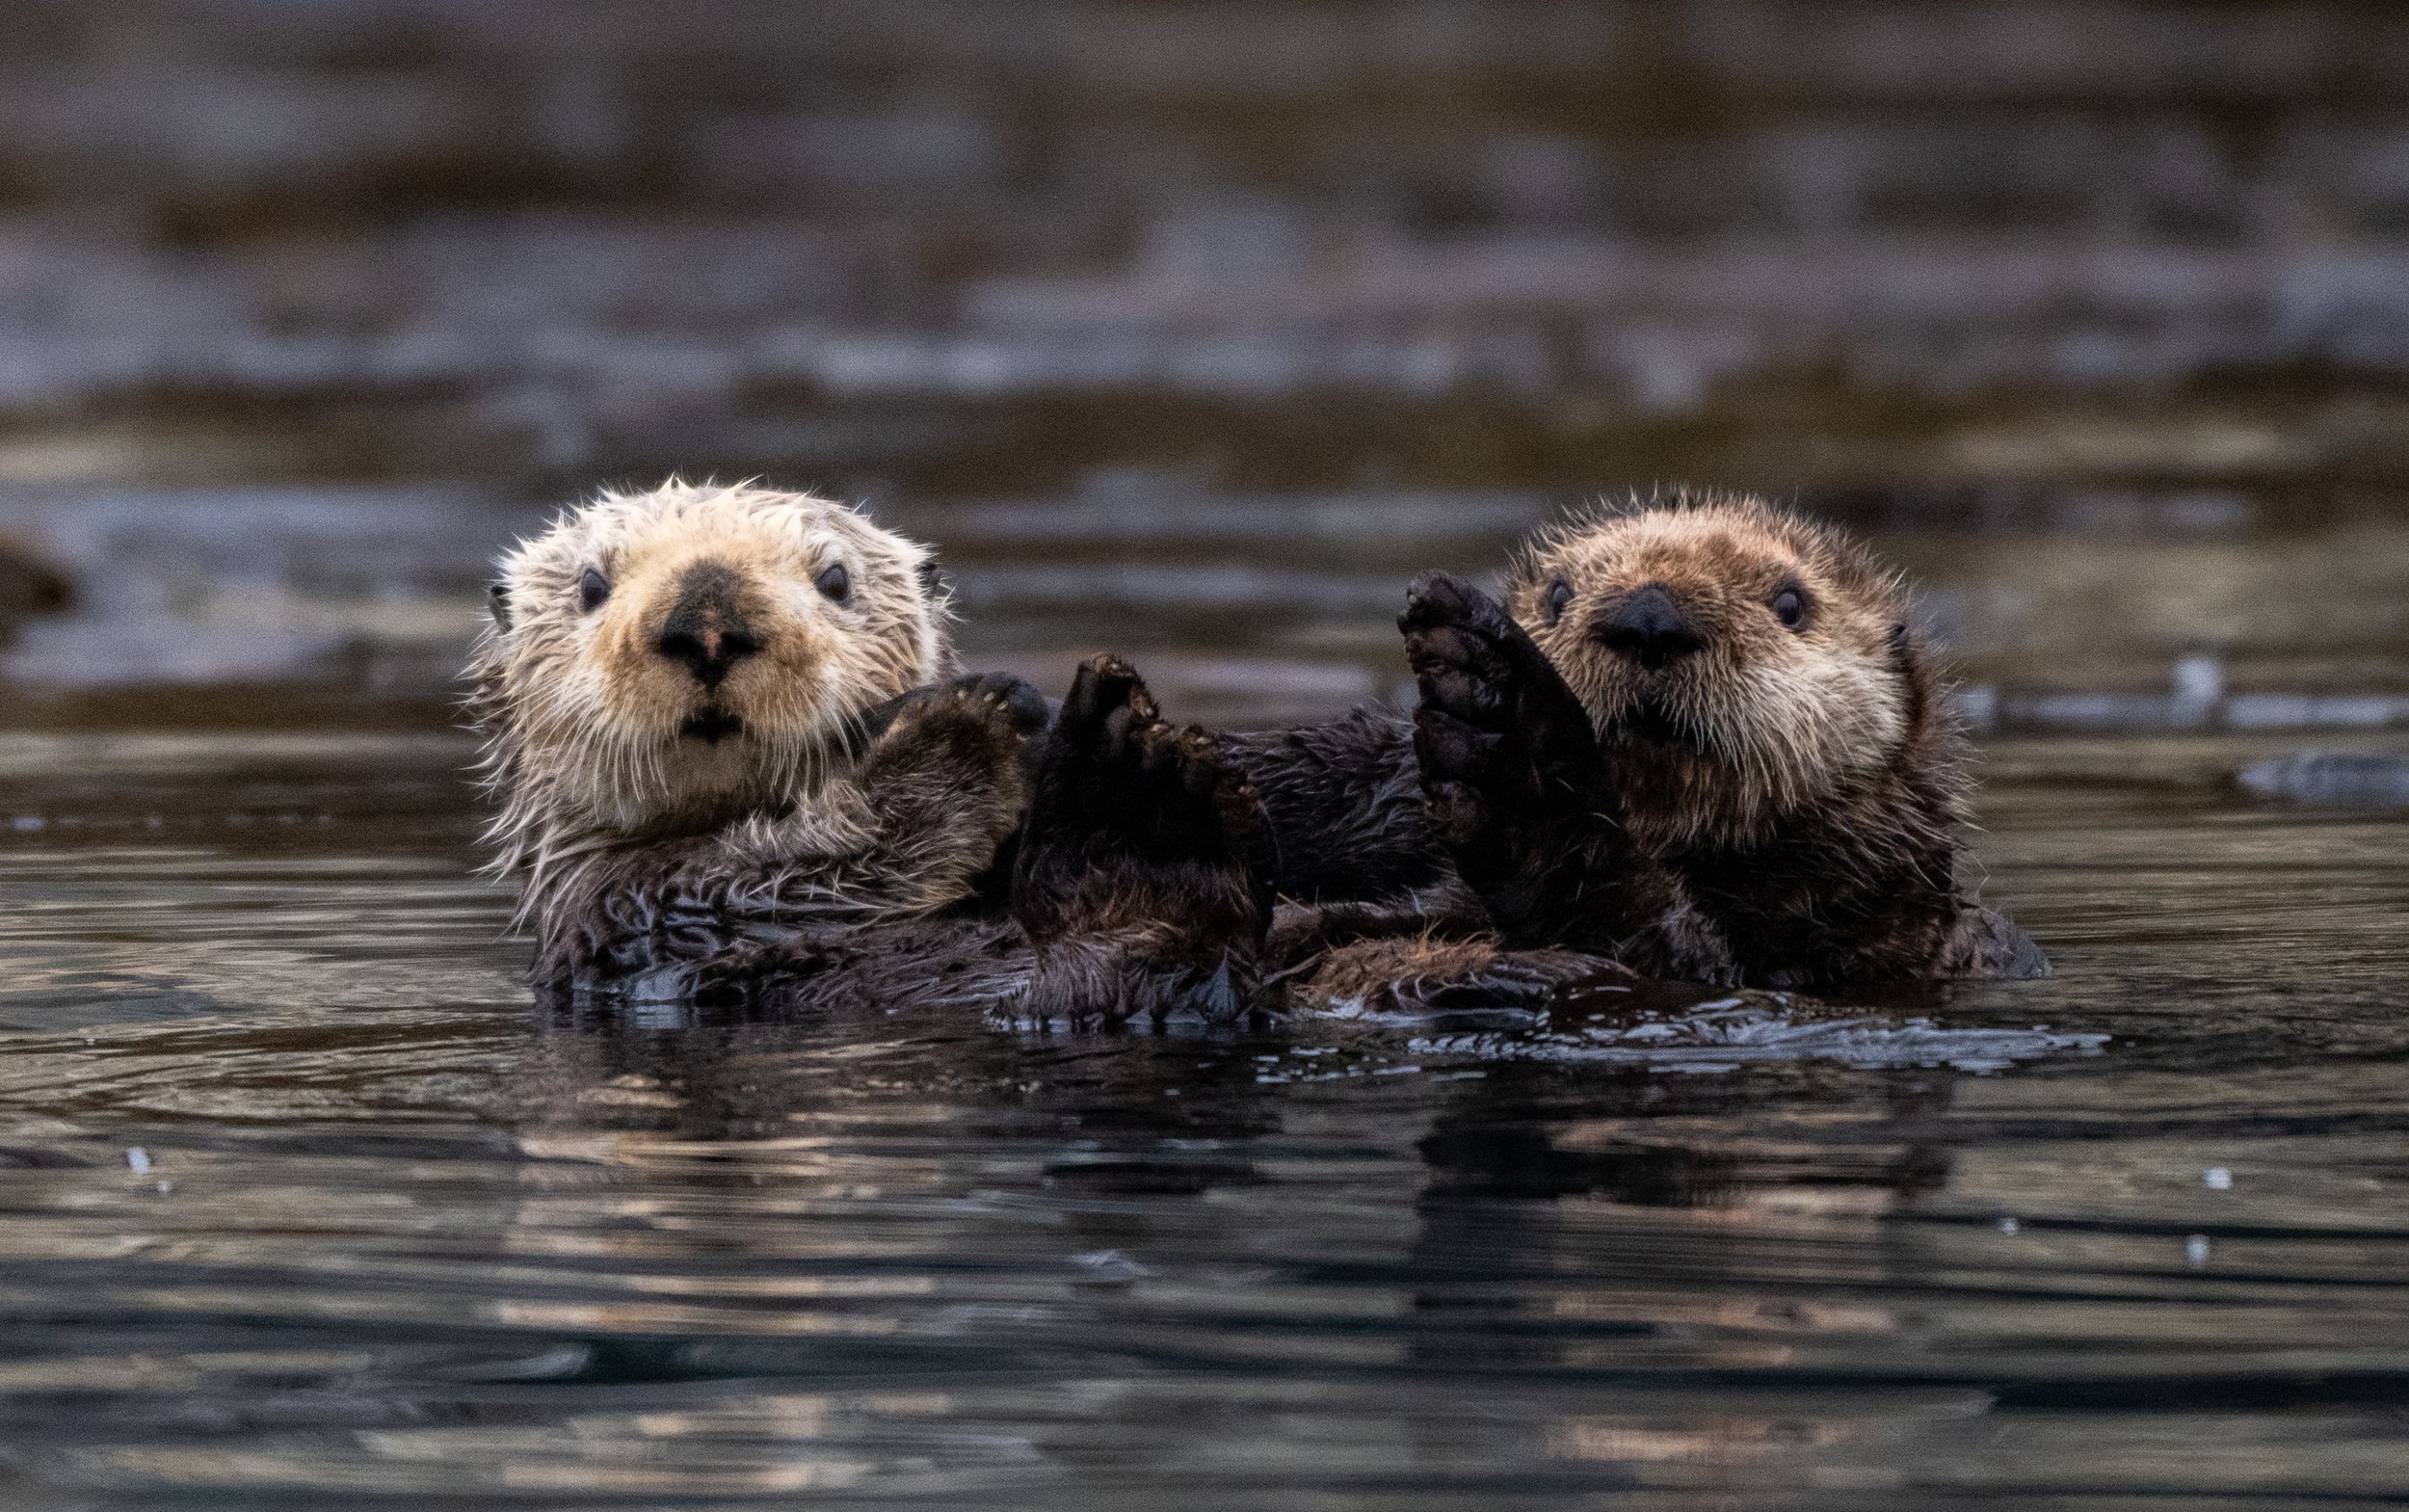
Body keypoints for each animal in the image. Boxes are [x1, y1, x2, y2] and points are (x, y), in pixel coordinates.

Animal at [468, 480, 1268, 1021]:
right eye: (590, 584)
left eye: (835, 578)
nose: (708, 625)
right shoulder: (632, 908)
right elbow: (833, 858)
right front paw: (973, 724)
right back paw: (1136, 784)